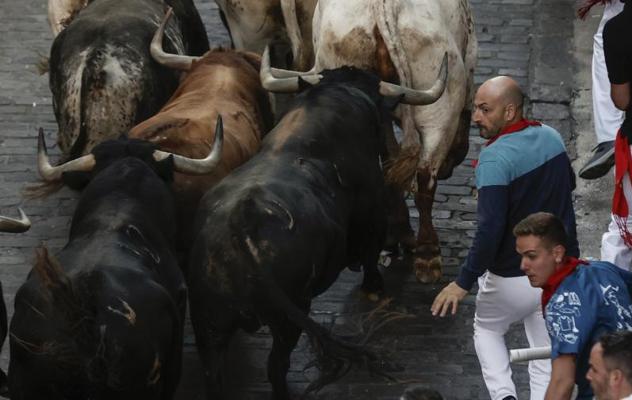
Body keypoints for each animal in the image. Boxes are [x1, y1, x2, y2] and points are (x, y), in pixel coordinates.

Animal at [188, 69, 398, 400]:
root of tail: (240, 222)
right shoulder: (375, 210)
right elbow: (371, 254)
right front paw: (374, 286)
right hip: (290, 314)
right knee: (276, 366)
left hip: (207, 319)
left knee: (214, 372)